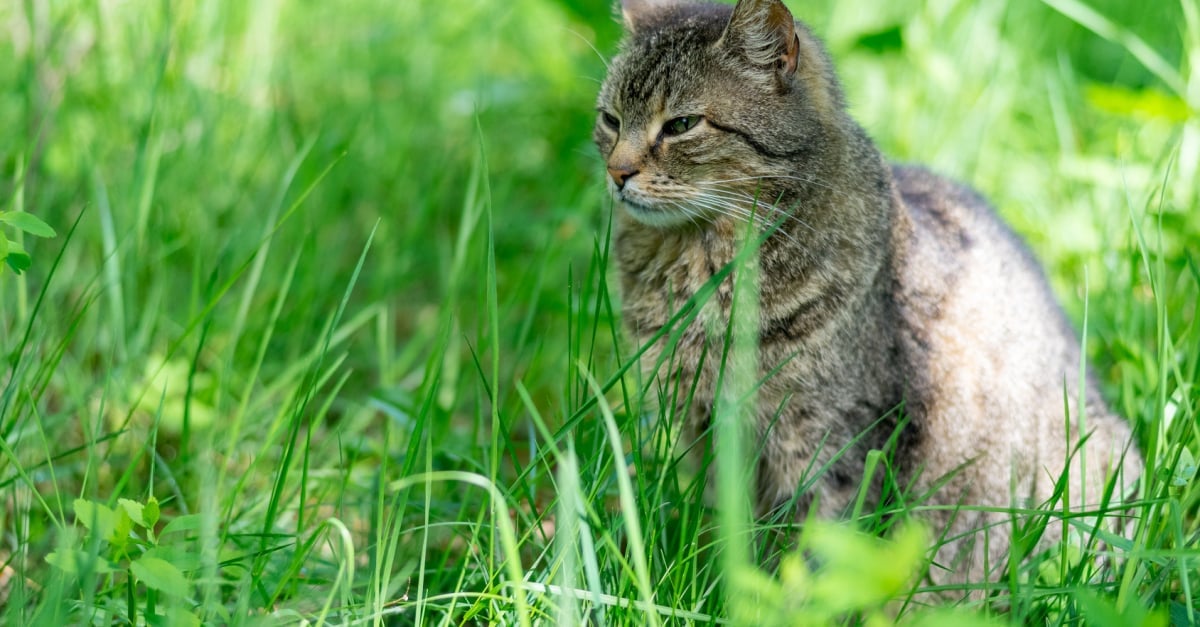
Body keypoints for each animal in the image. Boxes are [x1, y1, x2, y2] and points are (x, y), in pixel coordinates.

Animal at [595, 0, 1137, 588]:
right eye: (610, 120)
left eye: (681, 125)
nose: (617, 171)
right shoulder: (704, 430)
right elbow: (727, 535)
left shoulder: (834, 444)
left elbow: (818, 556)